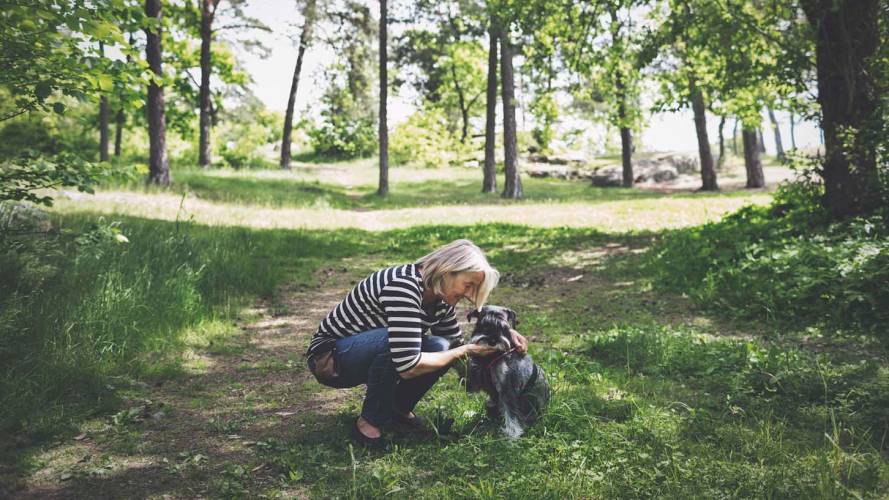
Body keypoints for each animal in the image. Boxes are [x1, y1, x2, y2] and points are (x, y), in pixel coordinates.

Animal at [464, 304, 548, 438]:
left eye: (504, 327)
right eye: (483, 325)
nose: (492, 341)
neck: (491, 356)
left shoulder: (507, 387)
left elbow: (510, 411)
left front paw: (513, 433)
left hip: (528, 401)